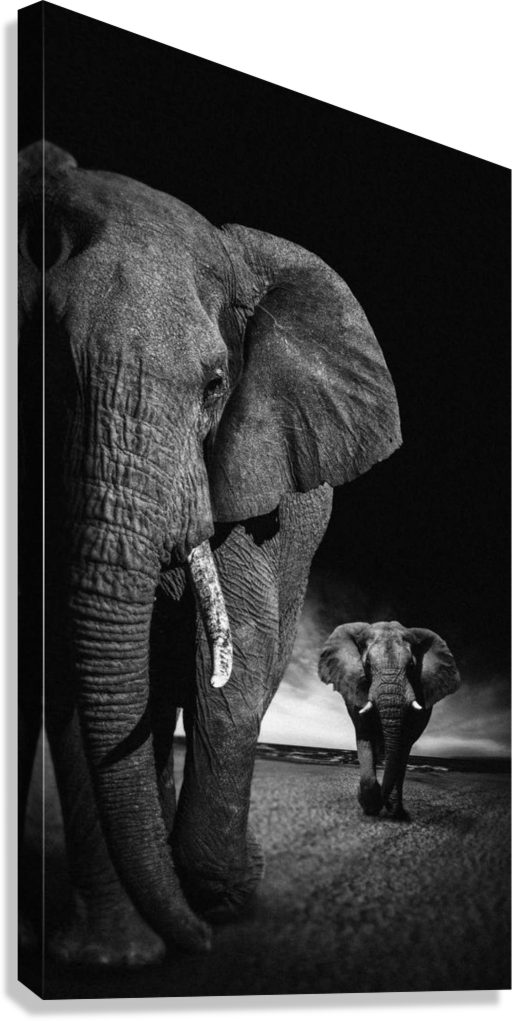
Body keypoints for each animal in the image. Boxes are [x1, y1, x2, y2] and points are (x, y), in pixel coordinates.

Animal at [18, 140, 402, 966]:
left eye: (216, 384)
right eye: (52, 376)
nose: (197, 943)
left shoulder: (249, 480)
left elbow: (236, 657)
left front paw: (221, 894)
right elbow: (71, 672)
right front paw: (117, 956)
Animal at [318, 621, 461, 820]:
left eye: (411, 665)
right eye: (367, 664)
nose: (380, 800)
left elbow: (402, 745)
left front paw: (378, 804)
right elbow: (365, 735)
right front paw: (369, 804)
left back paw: (396, 812)